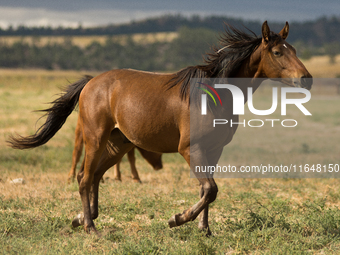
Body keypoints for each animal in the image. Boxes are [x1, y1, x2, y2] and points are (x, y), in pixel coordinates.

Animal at [6, 21, 312, 235]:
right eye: (277, 52)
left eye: (295, 50)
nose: (306, 79)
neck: (213, 95)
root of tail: (91, 82)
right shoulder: (190, 149)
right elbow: (210, 189)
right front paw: (178, 219)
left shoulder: (214, 151)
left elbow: (207, 190)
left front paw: (204, 229)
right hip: (96, 138)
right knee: (84, 177)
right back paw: (90, 227)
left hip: (119, 144)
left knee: (94, 176)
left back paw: (83, 217)